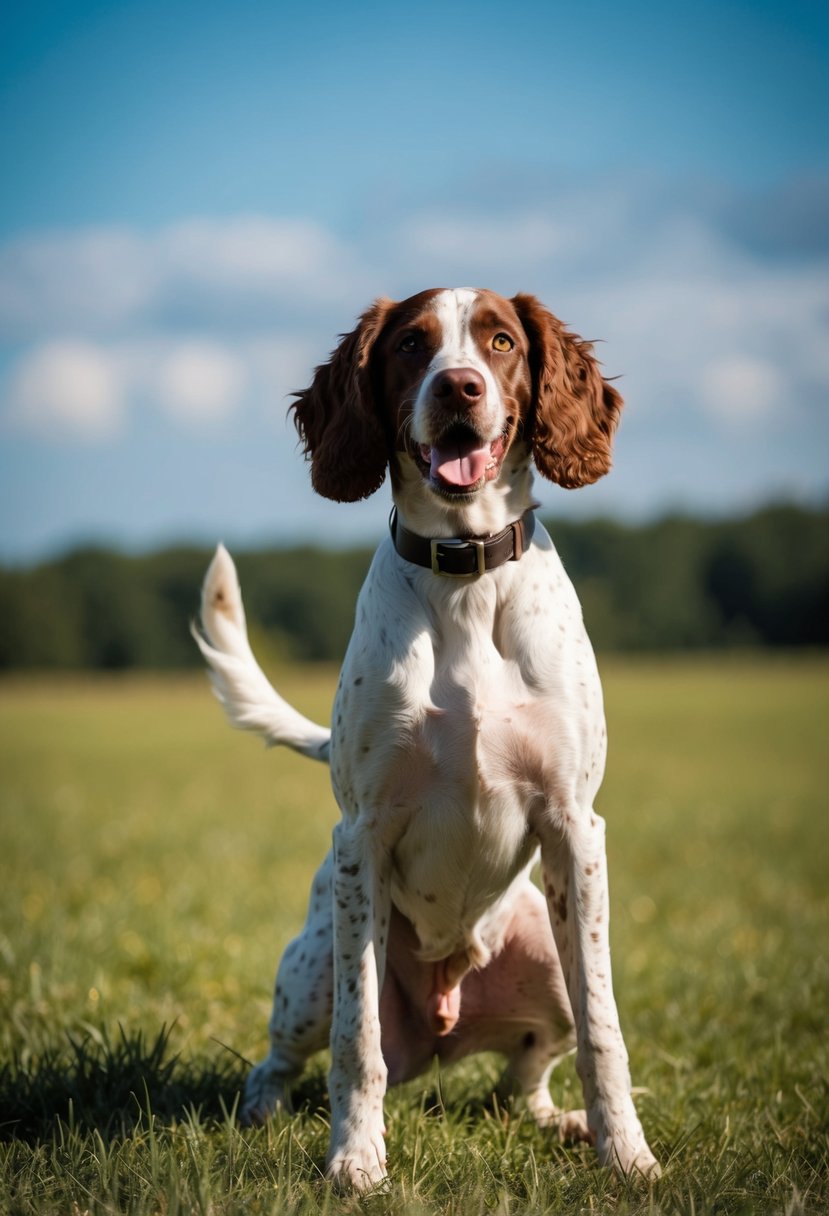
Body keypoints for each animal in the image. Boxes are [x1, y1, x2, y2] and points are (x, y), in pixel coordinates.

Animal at [195, 286, 656, 1186]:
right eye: (411, 344)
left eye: (501, 341)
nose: (459, 388)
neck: (463, 568)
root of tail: (446, 1025)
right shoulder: (361, 839)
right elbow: (357, 1044)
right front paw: (354, 1160)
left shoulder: (575, 828)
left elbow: (604, 1032)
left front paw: (627, 1155)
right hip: (313, 967)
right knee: (282, 1060)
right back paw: (263, 1115)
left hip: (543, 954)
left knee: (523, 1081)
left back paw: (563, 1122)